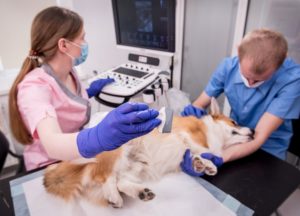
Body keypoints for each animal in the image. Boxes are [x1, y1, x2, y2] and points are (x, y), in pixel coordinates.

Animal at [42, 98, 253, 208]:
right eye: (234, 122)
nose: (253, 131)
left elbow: (195, 156)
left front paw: (203, 165)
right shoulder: (189, 134)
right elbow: (201, 148)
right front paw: (208, 161)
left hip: (138, 165)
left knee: (120, 181)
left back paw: (139, 192)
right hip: (118, 148)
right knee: (105, 176)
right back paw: (114, 197)